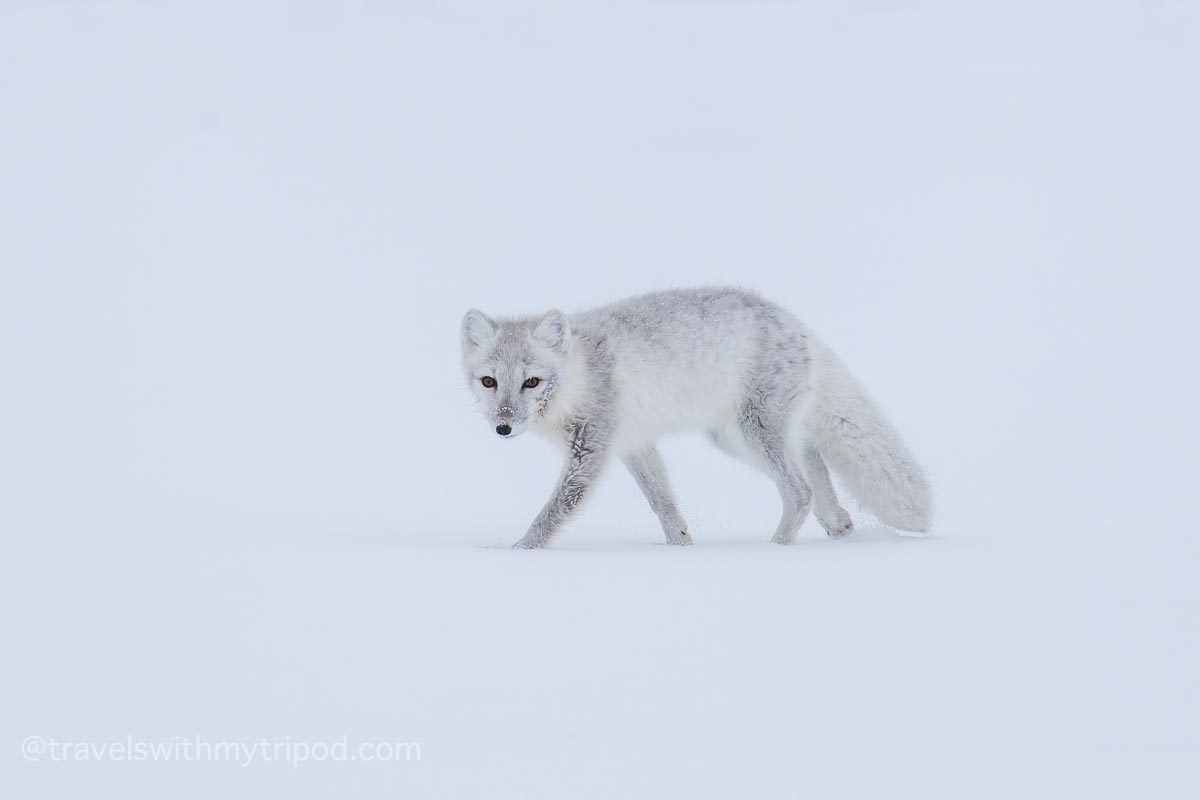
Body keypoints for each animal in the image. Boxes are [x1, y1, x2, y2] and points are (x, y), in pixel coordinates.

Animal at [460, 289, 936, 551]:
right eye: (489, 381)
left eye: (532, 382)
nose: (503, 427)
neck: (578, 376)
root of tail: (795, 323)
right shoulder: (632, 442)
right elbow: (663, 502)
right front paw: (681, 547)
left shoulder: (591, 450)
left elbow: (552, 512)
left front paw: (518, 552)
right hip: (737, 437)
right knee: (813, 460)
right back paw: (837, 524)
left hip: (753, 432)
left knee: (799, 491)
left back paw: (777, 550)